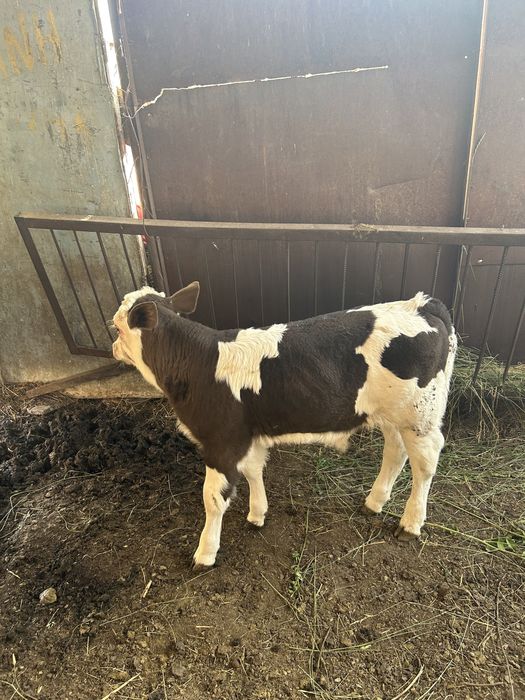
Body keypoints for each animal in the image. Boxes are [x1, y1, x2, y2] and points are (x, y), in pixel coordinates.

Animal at [112, 282, 456, 568]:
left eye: (117, 326)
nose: (112, 347)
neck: (200, 363)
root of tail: (422, 304)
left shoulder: (221, 442)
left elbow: (213, 499)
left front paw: (205, 552)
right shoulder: (248, 435)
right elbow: (254, 471)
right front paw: (257, 514)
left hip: (421, 416)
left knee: (425, 464)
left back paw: (410, 523)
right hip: (393, 414)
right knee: (395, 452)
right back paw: (374, 502)